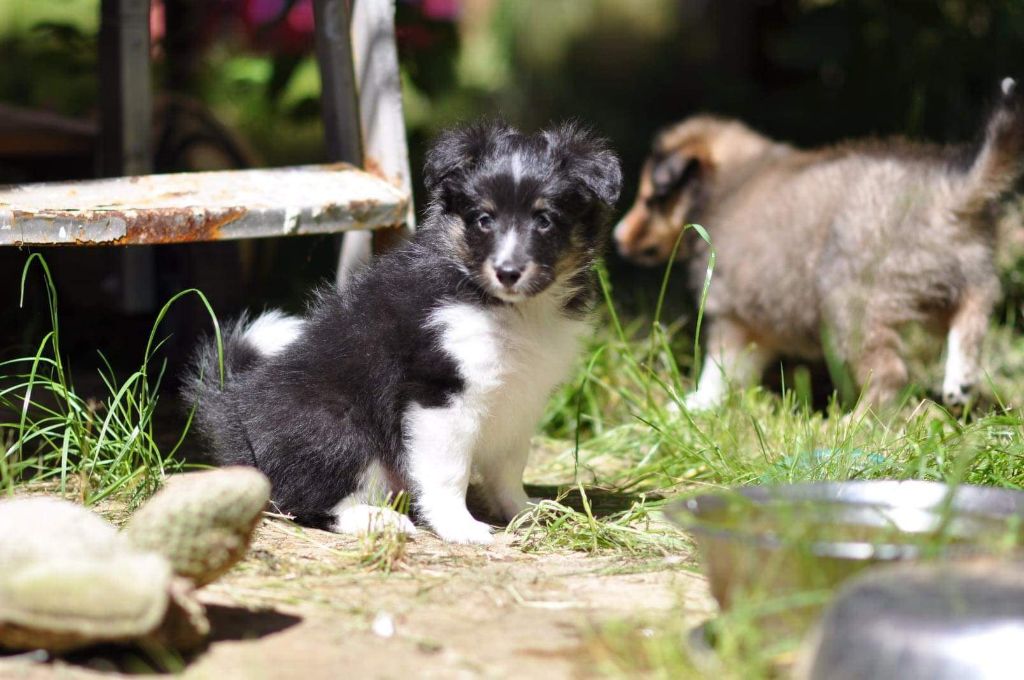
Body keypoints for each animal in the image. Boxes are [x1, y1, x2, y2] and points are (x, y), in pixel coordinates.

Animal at [182, 122, 622, 544]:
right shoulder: (440, 395)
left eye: (544, 221)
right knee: (305, 500)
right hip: (333, 428)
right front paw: (460, 527)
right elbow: (449, 473)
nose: (508, 272)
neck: (508, 307)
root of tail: (233, 408)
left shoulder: (522, 397)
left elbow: (510, 466)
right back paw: (378, 520)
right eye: (484, 220)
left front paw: (526, 510)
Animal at [614, 77, 1024, 411]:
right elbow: (734, 373)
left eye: (650, 199)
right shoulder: (758, 325)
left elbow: (717, 370)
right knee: (977, 305)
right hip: (945, 278)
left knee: (889, 373)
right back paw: (959, 379)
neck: (726, 187)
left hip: (852, 305)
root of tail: (947, 193)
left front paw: (694, 405)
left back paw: (855, 423)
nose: (617, 237)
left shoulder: (731, 315)